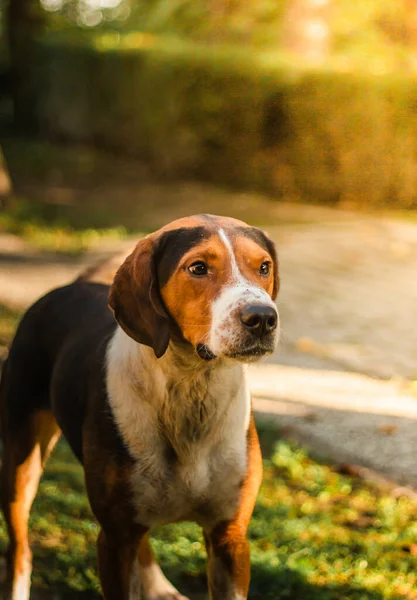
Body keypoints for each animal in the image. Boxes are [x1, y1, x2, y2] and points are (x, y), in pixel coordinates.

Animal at [0, 214, 280, 600]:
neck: (190, 390)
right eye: (198, 267)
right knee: (20, 547)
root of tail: (72, 286)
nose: (263, 317)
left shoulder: (230, 538)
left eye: (264, 267)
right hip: (20, 464)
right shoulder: (114, 541)